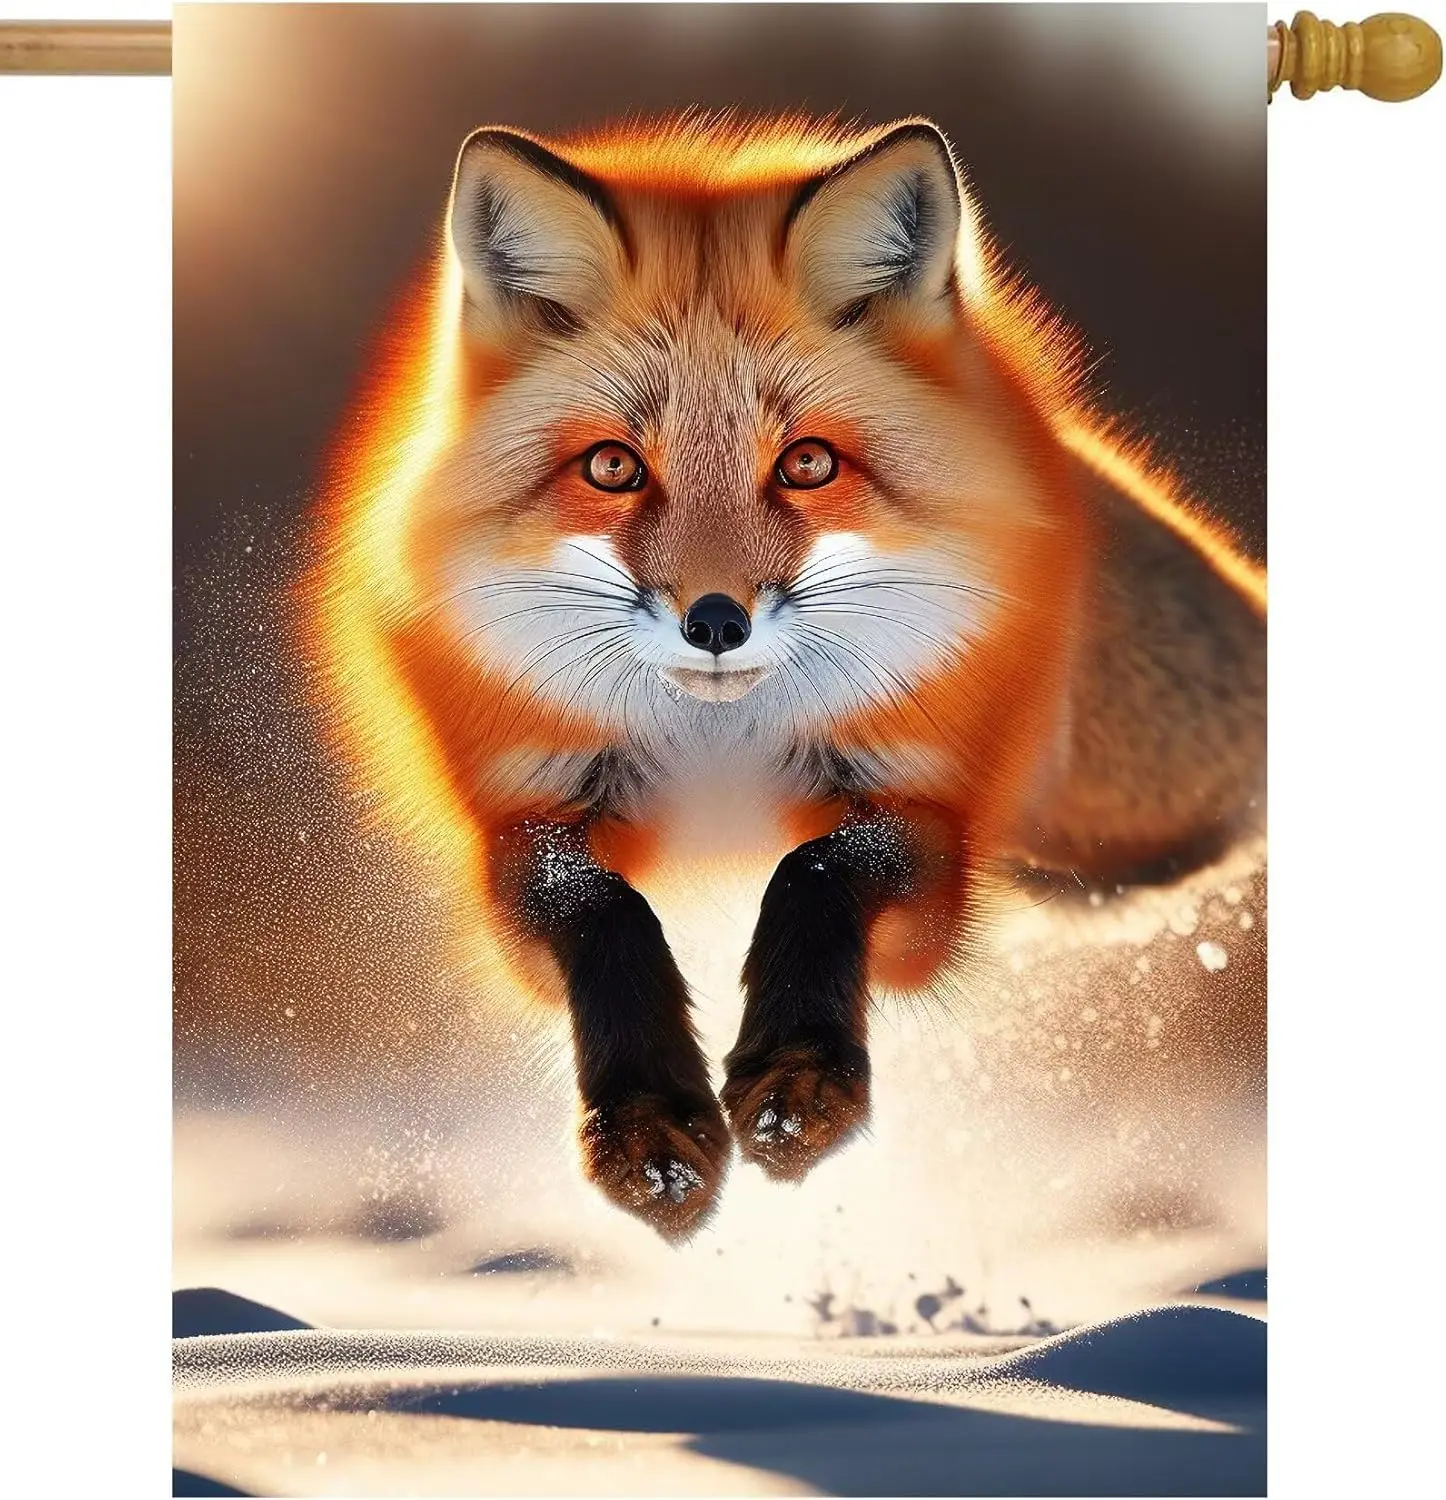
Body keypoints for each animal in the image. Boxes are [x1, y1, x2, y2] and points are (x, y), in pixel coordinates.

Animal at [308, 115, 1265, 1241]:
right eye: (613, 468)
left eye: (807, 464)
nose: (715, 621)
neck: (721, 751)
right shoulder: (522, 819)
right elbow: (602, 910)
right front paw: (650, 1129)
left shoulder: (927, 822)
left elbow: (816, 871)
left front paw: (800, 1081)